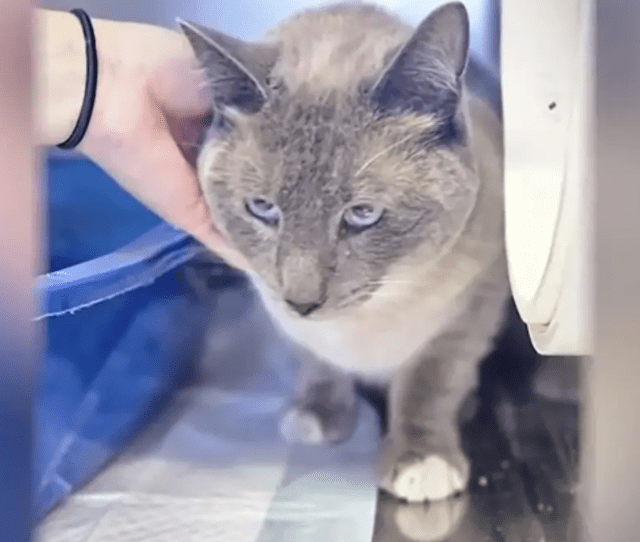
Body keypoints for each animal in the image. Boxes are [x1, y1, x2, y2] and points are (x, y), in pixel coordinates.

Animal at [180, 1, 510, 506]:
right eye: (262, 208)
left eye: (362, 214)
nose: (302, 302)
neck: (368, 321)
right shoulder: (279, 312)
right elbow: (318, 363)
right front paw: (317, 418)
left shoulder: (473, 305)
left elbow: (430, 384)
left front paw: (421, 462)